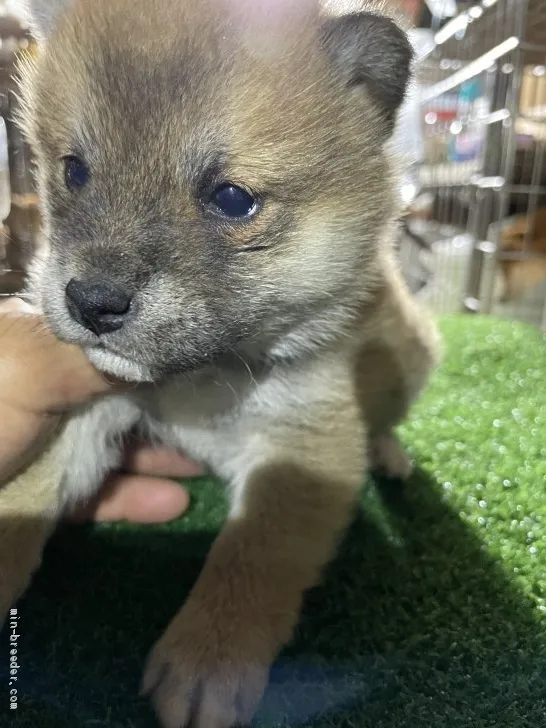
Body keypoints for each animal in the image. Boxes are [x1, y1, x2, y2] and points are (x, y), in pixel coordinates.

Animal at [0, 2, 438, 724]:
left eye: (232, 199)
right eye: (75, 171)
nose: (91, 302)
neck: (203, 379)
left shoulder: (303, 449)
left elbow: (251, 559)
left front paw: (210, 657)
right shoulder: (93, 409)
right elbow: (30, 492)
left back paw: (391, 453)